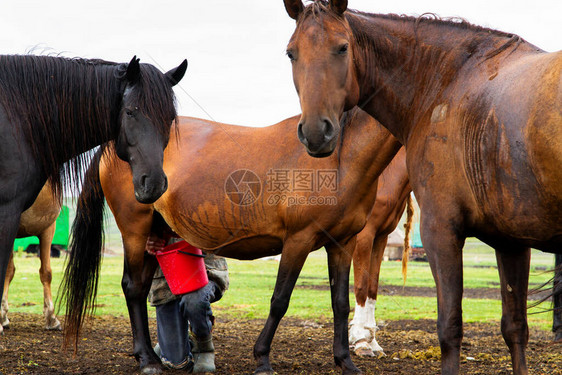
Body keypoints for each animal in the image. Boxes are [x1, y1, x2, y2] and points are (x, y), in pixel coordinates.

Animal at [63, 107, 400, 374]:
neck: (340, 158)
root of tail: (114, 144)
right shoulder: (299, 240)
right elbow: (280, 301)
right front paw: (262, 359)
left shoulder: (343, 243)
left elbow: (340, 304)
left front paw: (346, 361)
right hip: (134, 229)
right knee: (133, 289)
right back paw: (147, 360)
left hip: (153, 232)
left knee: (142, 287)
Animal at [348, 148, 410, 356]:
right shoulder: (364, 237)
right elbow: (361, 286)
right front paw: (360, 341)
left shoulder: (380, 238)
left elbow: (372, 287)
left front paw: (372, 341)